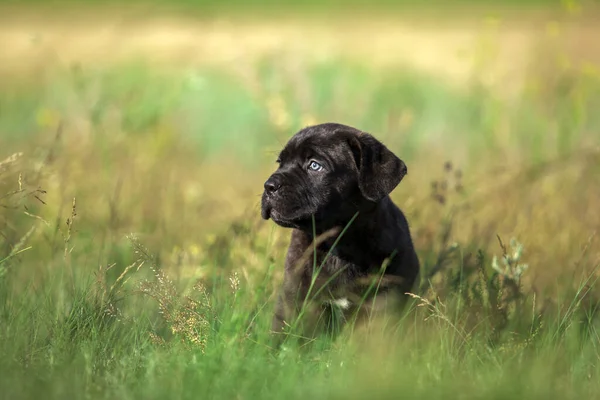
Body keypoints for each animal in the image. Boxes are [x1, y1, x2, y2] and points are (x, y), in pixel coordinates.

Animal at [260, 122, 420, 344]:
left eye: (314, 165)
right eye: (280, 163)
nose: (269, 186)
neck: (339, 242)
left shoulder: (383, 302)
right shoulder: (298, 297)